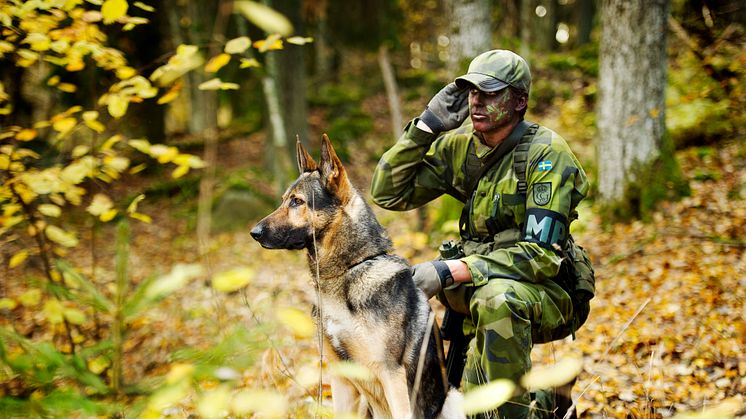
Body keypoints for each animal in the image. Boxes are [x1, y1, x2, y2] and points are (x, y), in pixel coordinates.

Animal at [250, 136, 460, 418]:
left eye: (297, 201)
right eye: (284, 200)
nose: (254, 232)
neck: (349, 270)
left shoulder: (391, 375)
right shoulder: (341, 378)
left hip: (454, 398)